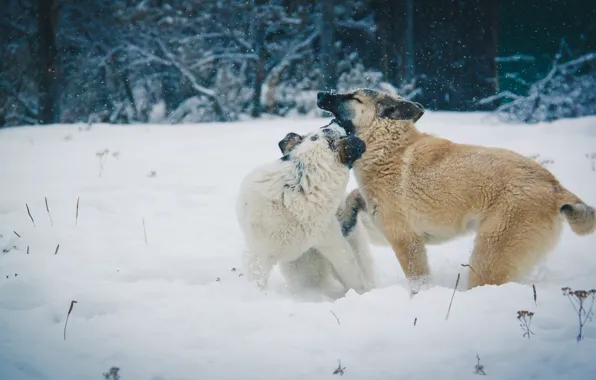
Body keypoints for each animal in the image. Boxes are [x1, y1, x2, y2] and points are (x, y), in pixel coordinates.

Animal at [236, 126, 368, 292]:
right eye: (326, 127)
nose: (336, 122)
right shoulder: (259, 254)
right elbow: (257, 279)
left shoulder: (332, 241)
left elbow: (352, 275)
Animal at [316, 88, 596, 290]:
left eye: (353, 97)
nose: (319, 94)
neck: (386, 146)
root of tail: (556, 186)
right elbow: (355, 197)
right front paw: (345, 221)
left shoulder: (405, 240)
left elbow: (418, 282)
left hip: (489, 258)